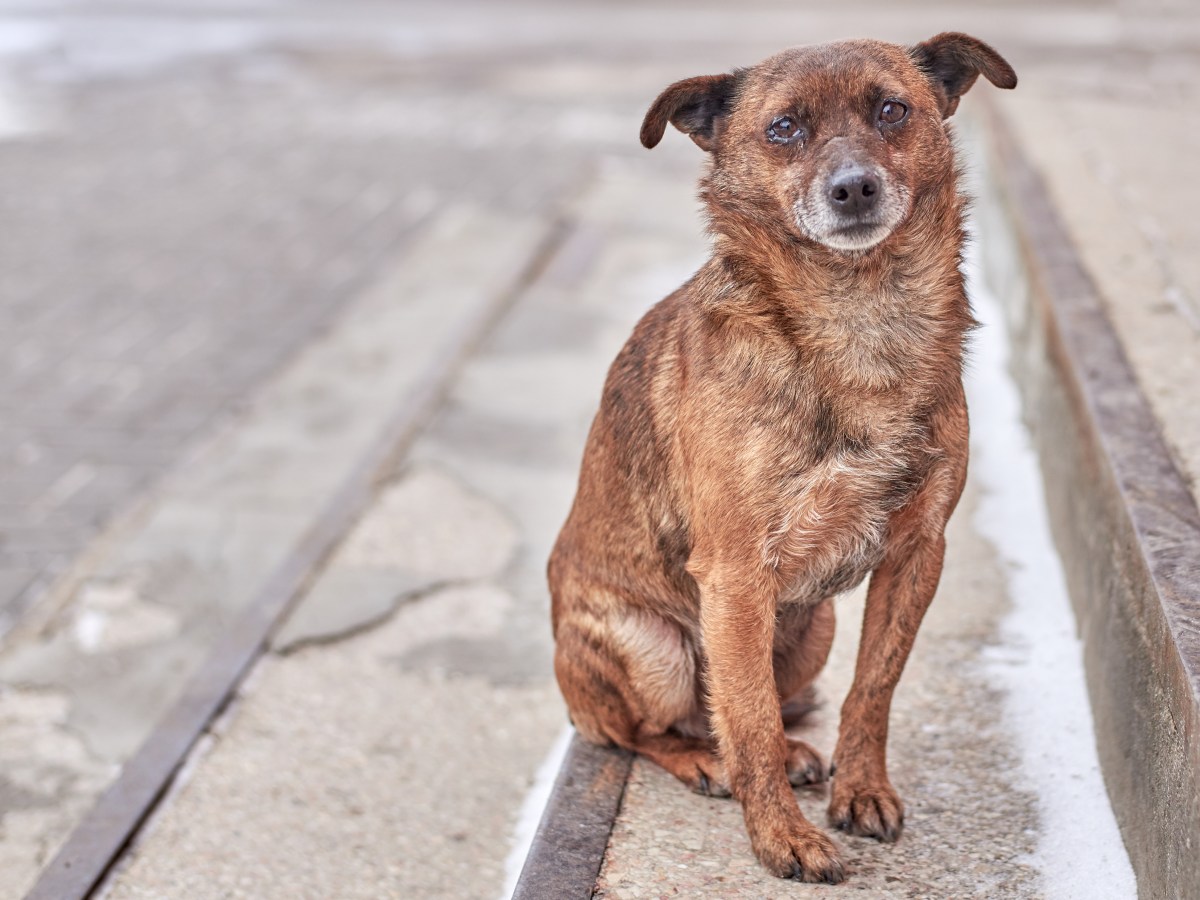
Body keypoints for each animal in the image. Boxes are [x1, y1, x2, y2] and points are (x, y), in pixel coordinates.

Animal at [549, 33, 1017, 883]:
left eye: (891, 110)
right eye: (784, 129)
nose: (854, 187)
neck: (860, 317)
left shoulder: (915, 553)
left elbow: (872, 689)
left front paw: (861, 790)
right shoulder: (736, 578)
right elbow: (751, 721)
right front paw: (781, 837)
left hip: (814, 626)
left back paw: (797, 752)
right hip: (655, 647)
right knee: (650, 730)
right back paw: (706, 762)